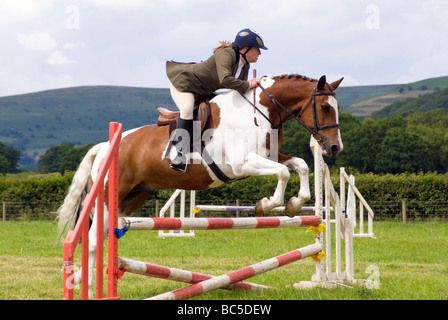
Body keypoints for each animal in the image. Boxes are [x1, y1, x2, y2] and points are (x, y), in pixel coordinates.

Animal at [56, 74, 344, 296]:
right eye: (325, 107)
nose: (334, 148)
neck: (261, 112)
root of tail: (105, 146)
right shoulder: (242, 164)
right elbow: (284, 172)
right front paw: (266, 205)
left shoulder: (269, 157)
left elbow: (300, 165)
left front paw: (294, 205)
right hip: (110, 195)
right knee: (92, 241)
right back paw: (87, 287)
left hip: (133, 198)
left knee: (103, 234)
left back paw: (81, 277)